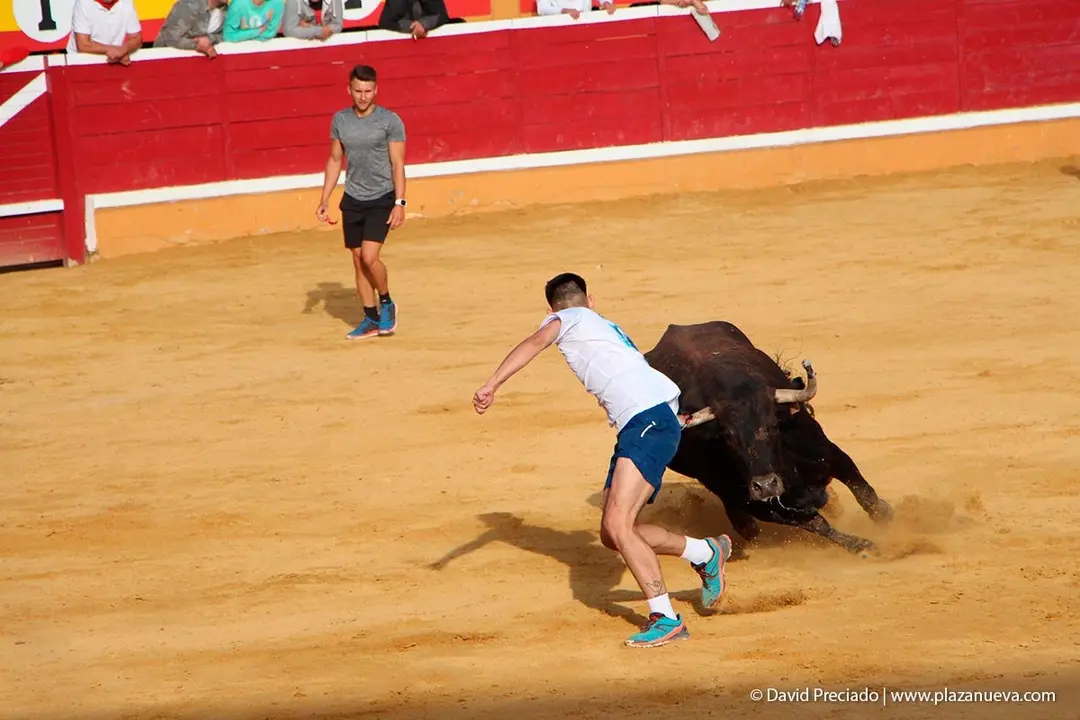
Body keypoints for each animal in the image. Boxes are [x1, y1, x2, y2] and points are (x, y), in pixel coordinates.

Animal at [642, 320, 893, 556]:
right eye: (727, 437)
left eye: (773, 426)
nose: (765, 486)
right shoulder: (759, 504)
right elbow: (817, 523)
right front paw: (862, 546)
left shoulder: (829, 454)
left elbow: (863, 492)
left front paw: (887, 521)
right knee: (746, 525)